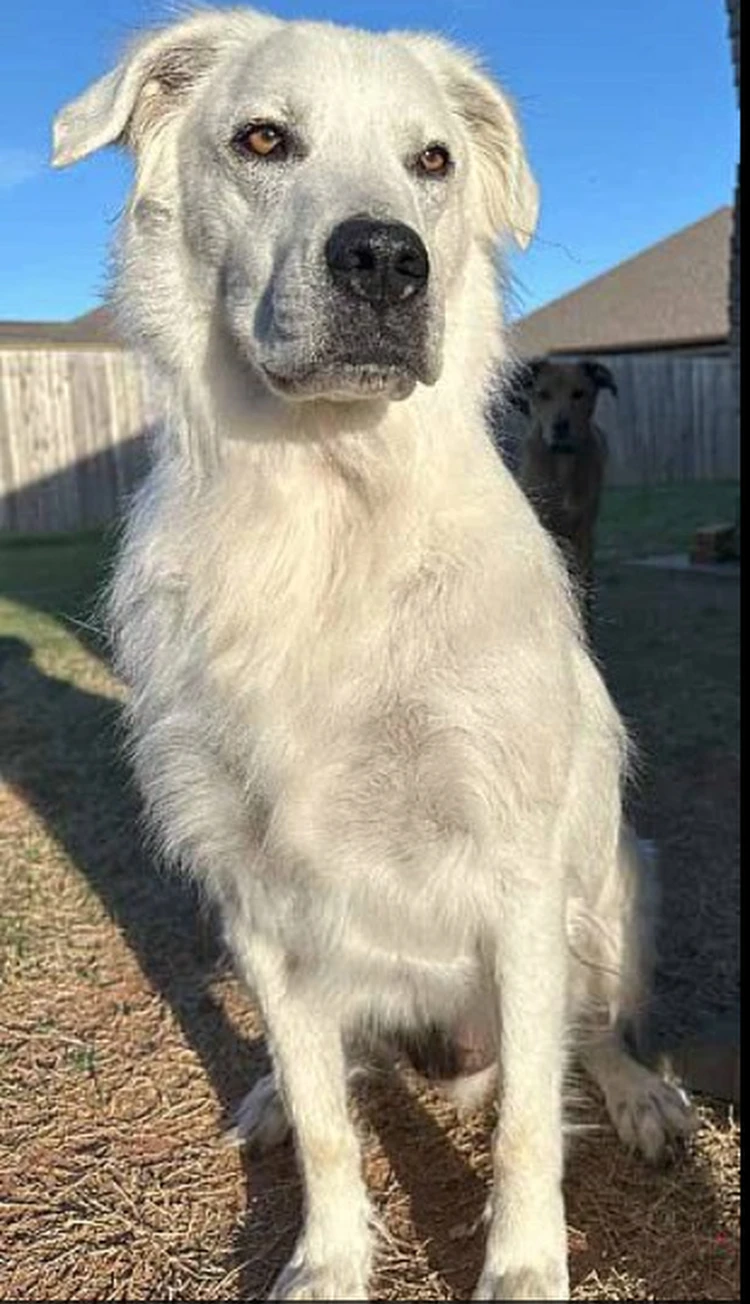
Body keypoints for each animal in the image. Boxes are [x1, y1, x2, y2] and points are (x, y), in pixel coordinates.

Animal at [54, 7, 693, 1293]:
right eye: (263, 137)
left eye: (433, 160)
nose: (388, 261)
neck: (332, 506)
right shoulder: (256, 894)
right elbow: (331, 1121)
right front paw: (330, 1260)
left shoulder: (520, 876)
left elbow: (528, 1121)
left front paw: (524, 1270)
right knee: (339, 1068)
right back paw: (269, 1098)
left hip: (618, 886)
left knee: (586, 1035)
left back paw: (641, 1094)